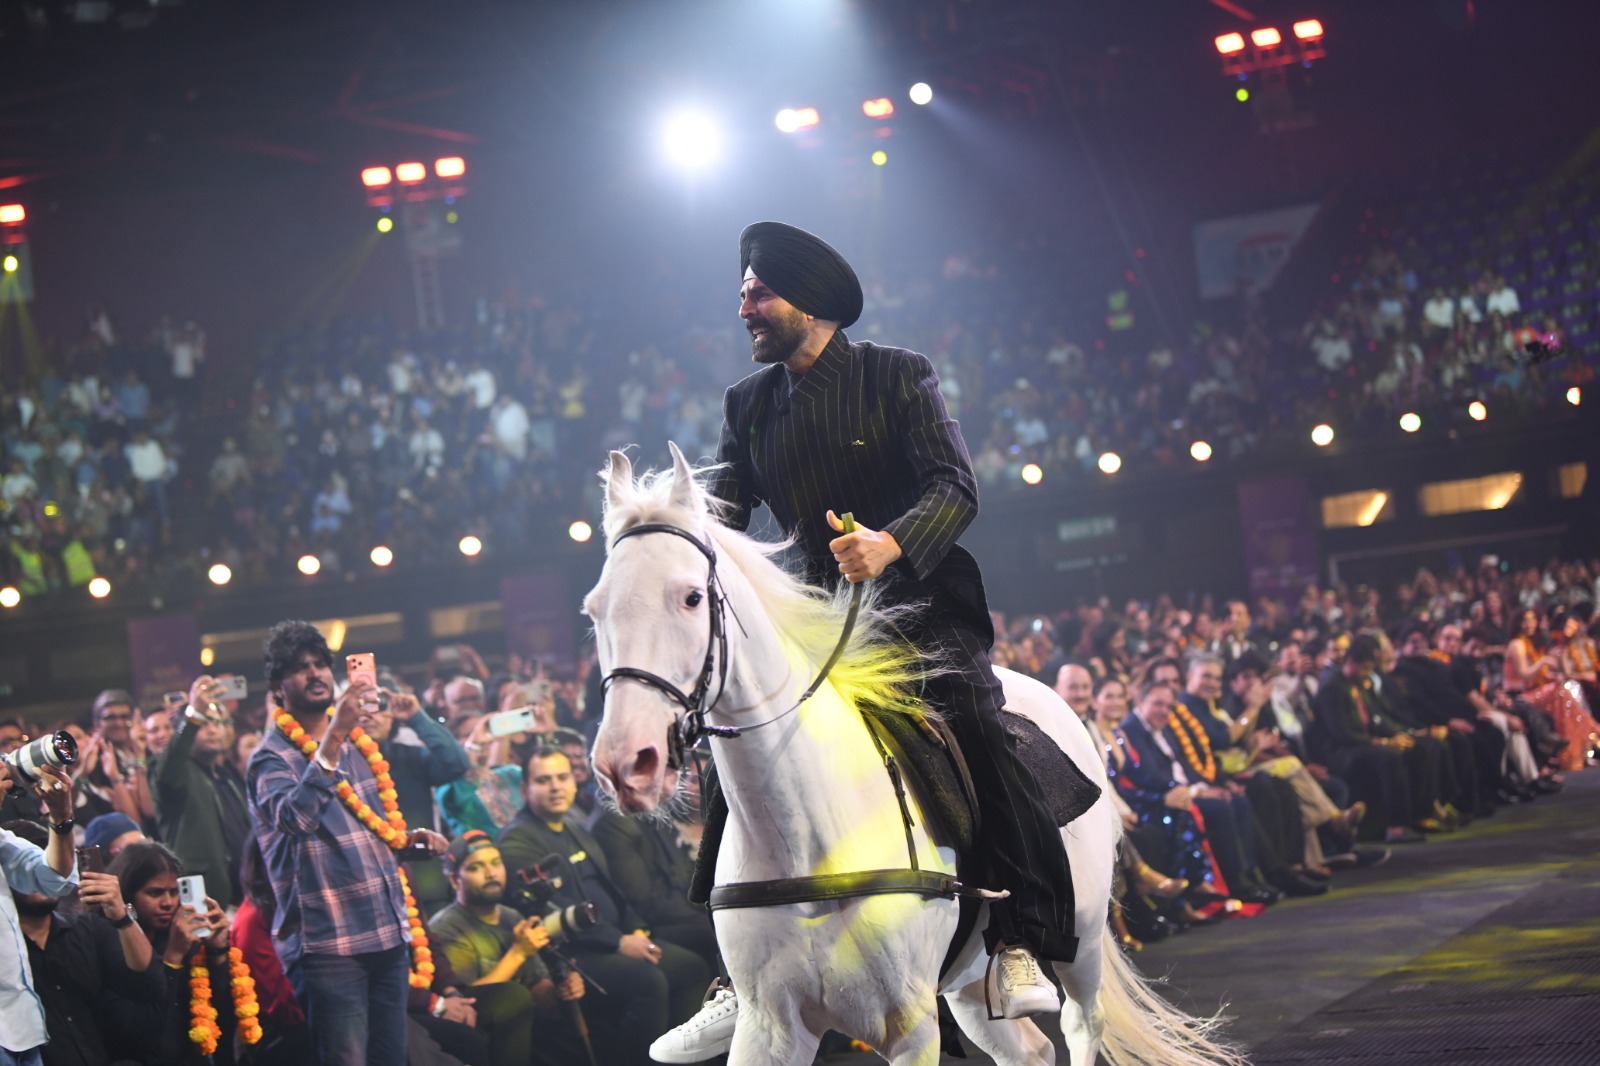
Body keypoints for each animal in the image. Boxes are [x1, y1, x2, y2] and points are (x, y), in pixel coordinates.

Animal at [585, 444, 1246, 1066]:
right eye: (594, 610)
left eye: (692, 598)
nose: (627, 762)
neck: (810, 831)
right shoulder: (770, 1031)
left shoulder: (910, 1028)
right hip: (968, 980)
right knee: (1029, 1050)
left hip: (1078, 935)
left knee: (1084, 1024)